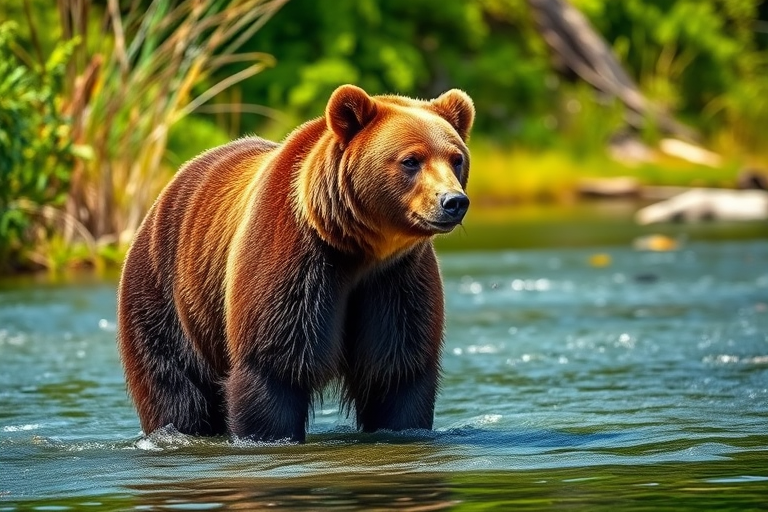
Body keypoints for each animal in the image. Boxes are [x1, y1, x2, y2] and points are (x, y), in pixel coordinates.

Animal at [117, 84, 474, 442]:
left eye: (456, 159)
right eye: (411, 160)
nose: (453, 201)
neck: (358, 248)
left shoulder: (396, 278)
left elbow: (398, 373)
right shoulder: (295, 262)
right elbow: (275, 369)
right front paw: (268, 433)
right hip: (165, 295)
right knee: (174, 387)